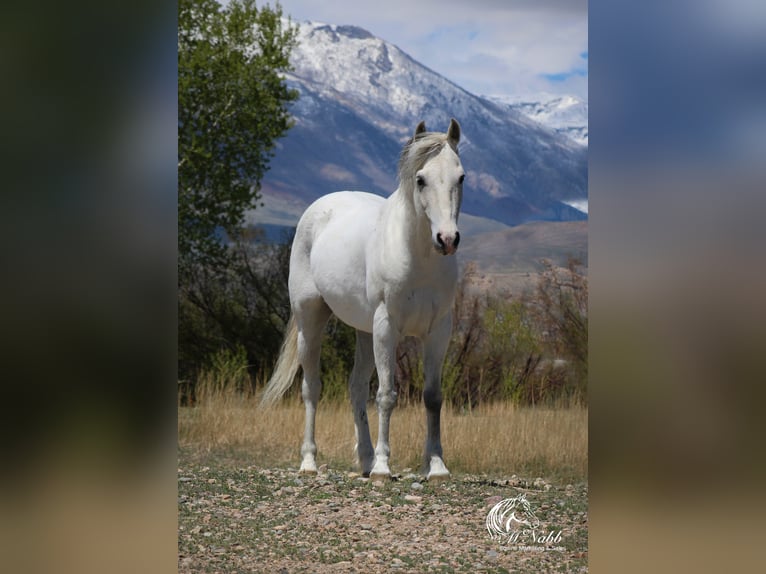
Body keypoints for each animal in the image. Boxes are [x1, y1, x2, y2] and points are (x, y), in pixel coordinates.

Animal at [264, 119, 464, 484]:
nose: (447, 239)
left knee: (356, 388)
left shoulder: (438, 331)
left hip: (364, 331)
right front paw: (385, 467)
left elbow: (432, 398)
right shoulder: (387, 328)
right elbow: (386, 396)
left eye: (461, 177)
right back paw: (310, 462)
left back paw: (366, 460)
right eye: (420, 179)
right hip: (311, 322)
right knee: (311, 388)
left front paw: (437, 467)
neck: (418, 257)